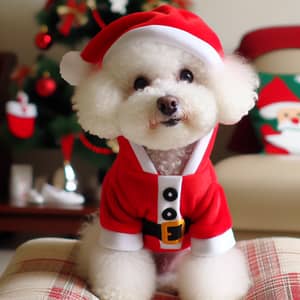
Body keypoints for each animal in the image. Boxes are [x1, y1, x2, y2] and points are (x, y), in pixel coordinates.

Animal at [60, 4, 258, 300]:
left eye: (187, 75)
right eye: (140, 83)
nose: (168, 102)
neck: (167, 166)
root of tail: (164, 279)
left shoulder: (212, 215)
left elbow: (211, 266)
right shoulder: (118, 215)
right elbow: (122, 263)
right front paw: (120, 293)